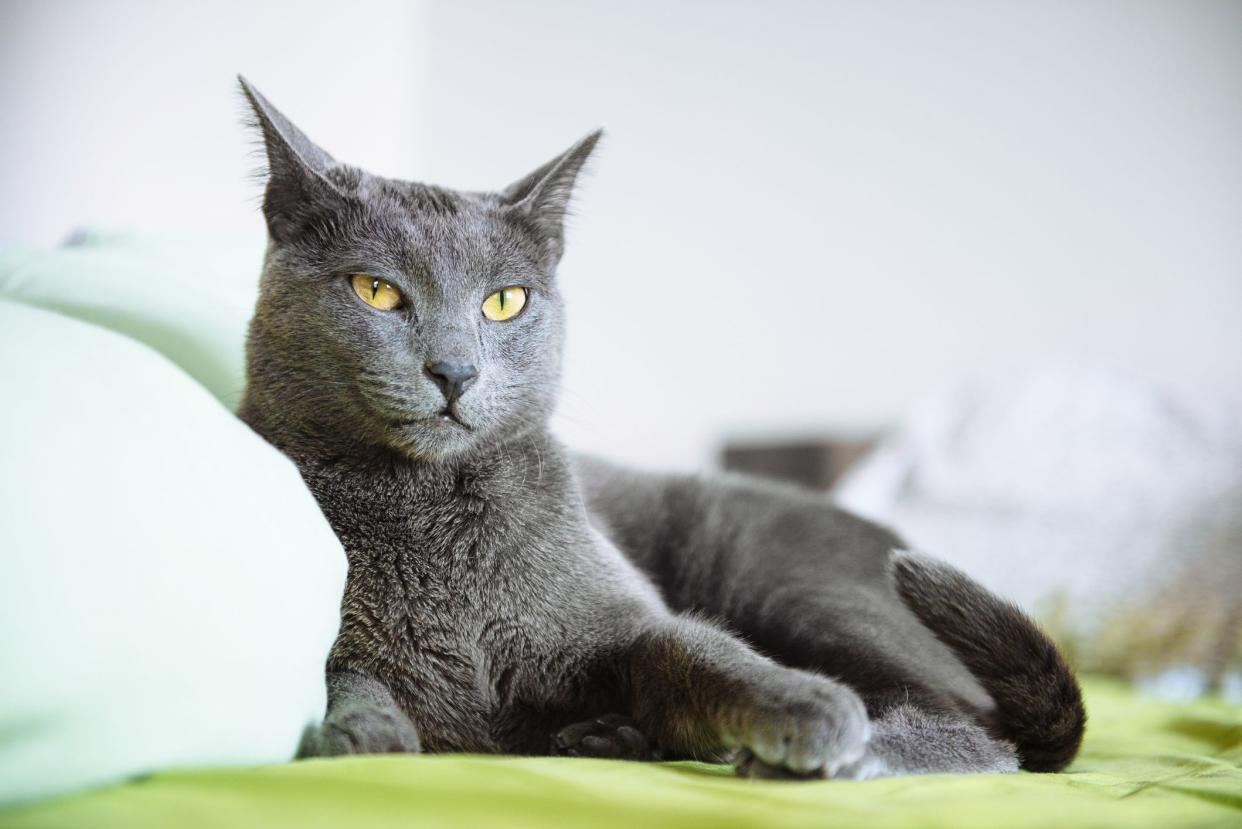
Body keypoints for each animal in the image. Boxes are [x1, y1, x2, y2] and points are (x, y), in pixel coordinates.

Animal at [234, 76, 1087, 780]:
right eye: (376, 290)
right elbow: (343, 674)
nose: (455, 370)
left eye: (504, 301)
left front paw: (805, 707)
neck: (429, 508)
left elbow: (693, 647)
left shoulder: (627, 619)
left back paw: (844, 756)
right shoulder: (348, 644)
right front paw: (361, 733)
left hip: (779, 573)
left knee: (982, 735)